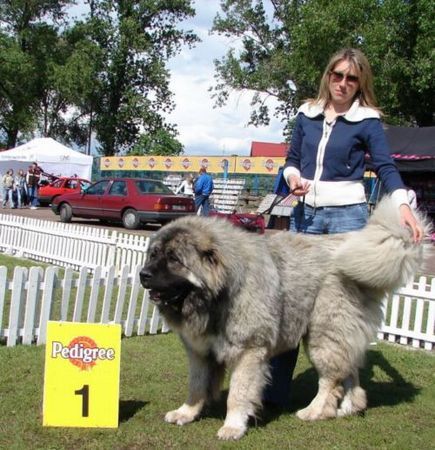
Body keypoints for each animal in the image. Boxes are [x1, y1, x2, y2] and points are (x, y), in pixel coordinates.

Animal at [141, 197, 428, 440]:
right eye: (153, 254)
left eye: (174, 259)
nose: (143, 274)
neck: (220, 292)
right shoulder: (199, 352)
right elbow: (197, 386)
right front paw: (187, 413)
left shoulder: (249, 351)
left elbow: (237, 394)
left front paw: (233, 426)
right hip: (339, 334)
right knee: (349, 372)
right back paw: (349, 407)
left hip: (324, 335)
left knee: (330, 380)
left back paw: (315, 411)